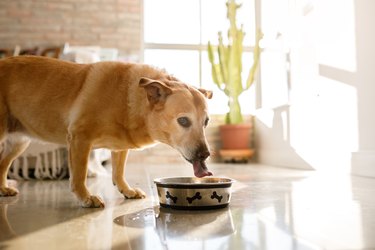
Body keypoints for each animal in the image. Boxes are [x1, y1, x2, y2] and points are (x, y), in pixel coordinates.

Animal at [0, 56, 212, 207]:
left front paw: (127, 190)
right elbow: (79, 175)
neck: (128, 98)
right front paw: (85, 197)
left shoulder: (119, 147)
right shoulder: (79, 139)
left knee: (2, 163)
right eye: (183, 121)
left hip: (18, 143)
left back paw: (3, 188)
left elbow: (118, 172)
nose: (205, 154)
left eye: (206, 122)